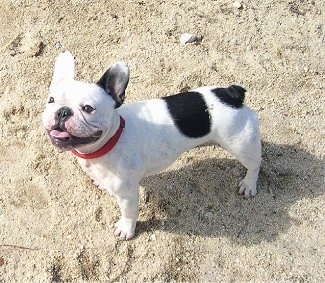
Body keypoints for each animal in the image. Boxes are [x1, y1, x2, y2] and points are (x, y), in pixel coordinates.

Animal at [42, 51, 260, 240]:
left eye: (88, 108)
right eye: (51, 100)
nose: (62, 111)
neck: (112, 139)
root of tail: (231, 94)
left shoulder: (128, 194)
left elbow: (129, 213)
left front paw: (126, 229)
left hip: (240, 143)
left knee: (254, 163)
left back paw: (249, 184)